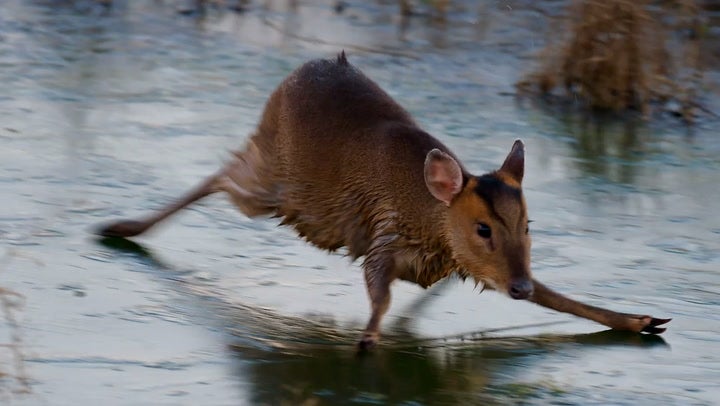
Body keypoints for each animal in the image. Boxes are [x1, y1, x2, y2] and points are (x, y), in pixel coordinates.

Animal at [96, 52, 670, 349]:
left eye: (528, 225)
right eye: (483, 228)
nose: (520, 286)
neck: (430, 222)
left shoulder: (468, 266)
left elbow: (563, 298)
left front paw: (641, 320)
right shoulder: (382, 240)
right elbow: (379, 295)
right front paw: (368, 339)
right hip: (275, 183)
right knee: (219, 174)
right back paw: (120, 227)